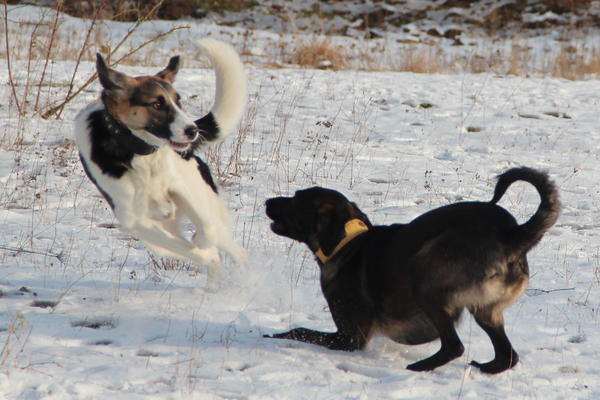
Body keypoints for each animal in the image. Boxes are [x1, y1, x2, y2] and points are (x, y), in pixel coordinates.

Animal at [75, 38, 248, 282]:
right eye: (156, 104)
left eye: (178, 101)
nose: (193, 130)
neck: (139, 153)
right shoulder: (135, 221)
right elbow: (195, 251)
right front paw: (203, 251)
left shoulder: (179, 188)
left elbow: (206, 230)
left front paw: (201, 240)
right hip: (157, 236)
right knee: (200, 252)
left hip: (205, 202)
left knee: (231, 246)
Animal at [264, 167, 560, 374]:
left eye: (295, 199)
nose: (268, 201)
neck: (348, 243)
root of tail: (513, 235)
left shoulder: (350, 337)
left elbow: (298, 330)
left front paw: (272, 336)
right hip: (486, 310)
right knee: (508, 356)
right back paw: (486, 368)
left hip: (426, 281)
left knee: (455, 346)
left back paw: (420, 367)